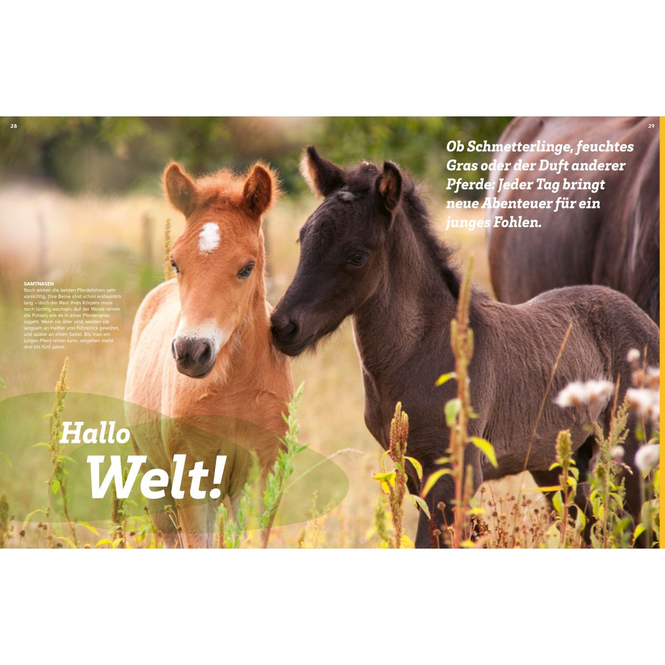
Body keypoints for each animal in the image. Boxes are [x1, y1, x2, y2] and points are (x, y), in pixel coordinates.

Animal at [124, 161, 293, 548]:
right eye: (176, 262)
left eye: (246, 267)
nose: (191, 351)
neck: (233, 388)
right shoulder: (191, 480)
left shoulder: (262, 476)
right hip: (155, 482)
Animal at [270, 147, 660, 548]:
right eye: (303, 239)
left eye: (357, 256)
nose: (283, 326)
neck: (420, 350)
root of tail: (642, 318)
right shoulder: (413, 471)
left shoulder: (454, 474)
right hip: (557, 464)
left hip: (631, 456)